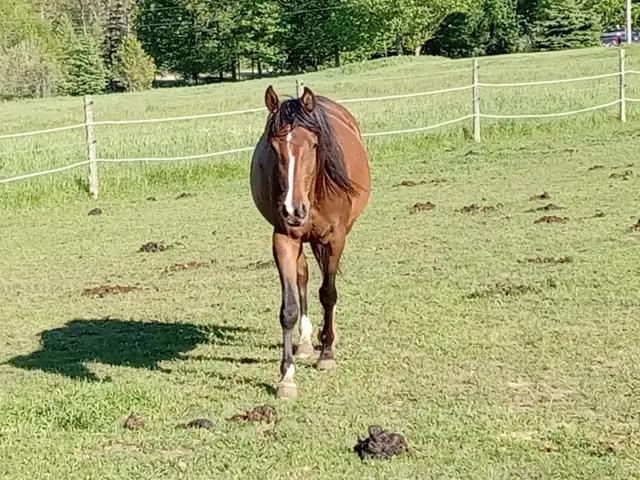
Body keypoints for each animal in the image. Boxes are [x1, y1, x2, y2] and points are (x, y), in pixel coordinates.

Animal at [250, 86, 371, 398]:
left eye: (315, 145)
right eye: (273, 147)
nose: (293, 210)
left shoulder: (335, 238)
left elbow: (328, 292)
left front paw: (327, 353)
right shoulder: (283, 238)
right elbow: (289, 307)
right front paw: (286, 377)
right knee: (303, 277)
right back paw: (305, 341)